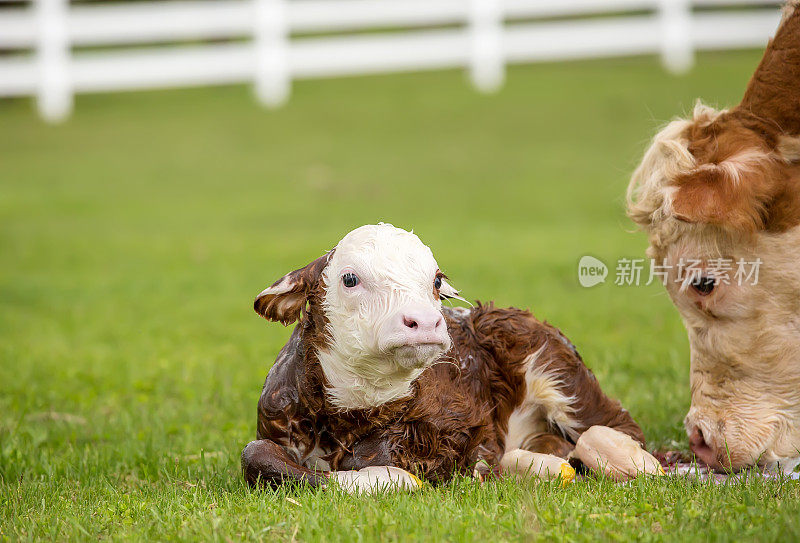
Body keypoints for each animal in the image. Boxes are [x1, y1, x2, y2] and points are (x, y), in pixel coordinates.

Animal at [239, 223, 664, 490]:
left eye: (436, 280)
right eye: (350, 278)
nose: (426, 321)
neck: (351, 412)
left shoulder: (454, 427)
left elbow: (379, 456)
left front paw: (390, 477)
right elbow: (254, 454)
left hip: (556, 366)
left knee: (612, 427)